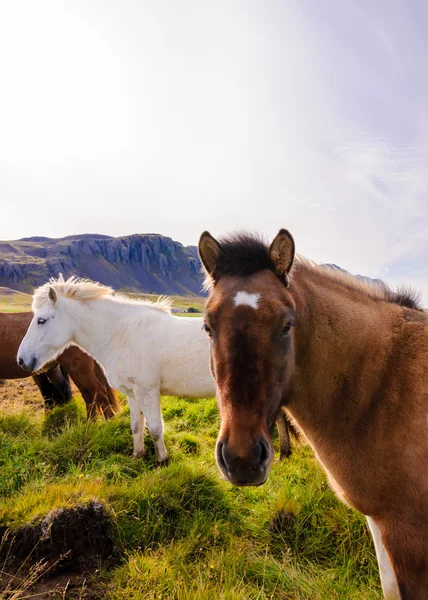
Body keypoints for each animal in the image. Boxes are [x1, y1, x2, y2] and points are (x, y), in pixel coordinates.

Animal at [17, 276, 214, 464]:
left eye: (41, 320)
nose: (21, 360)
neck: (121, 334)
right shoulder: (133, 393)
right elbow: (137, 426)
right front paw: (137, 455)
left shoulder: (147, 392)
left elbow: (155, 428)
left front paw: (162, 460)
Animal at [199, 230, 428, 600]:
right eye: (207, 326)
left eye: (286, 325)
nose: (242, 458)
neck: (384, 384)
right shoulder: (382, 524)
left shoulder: (408, 534)